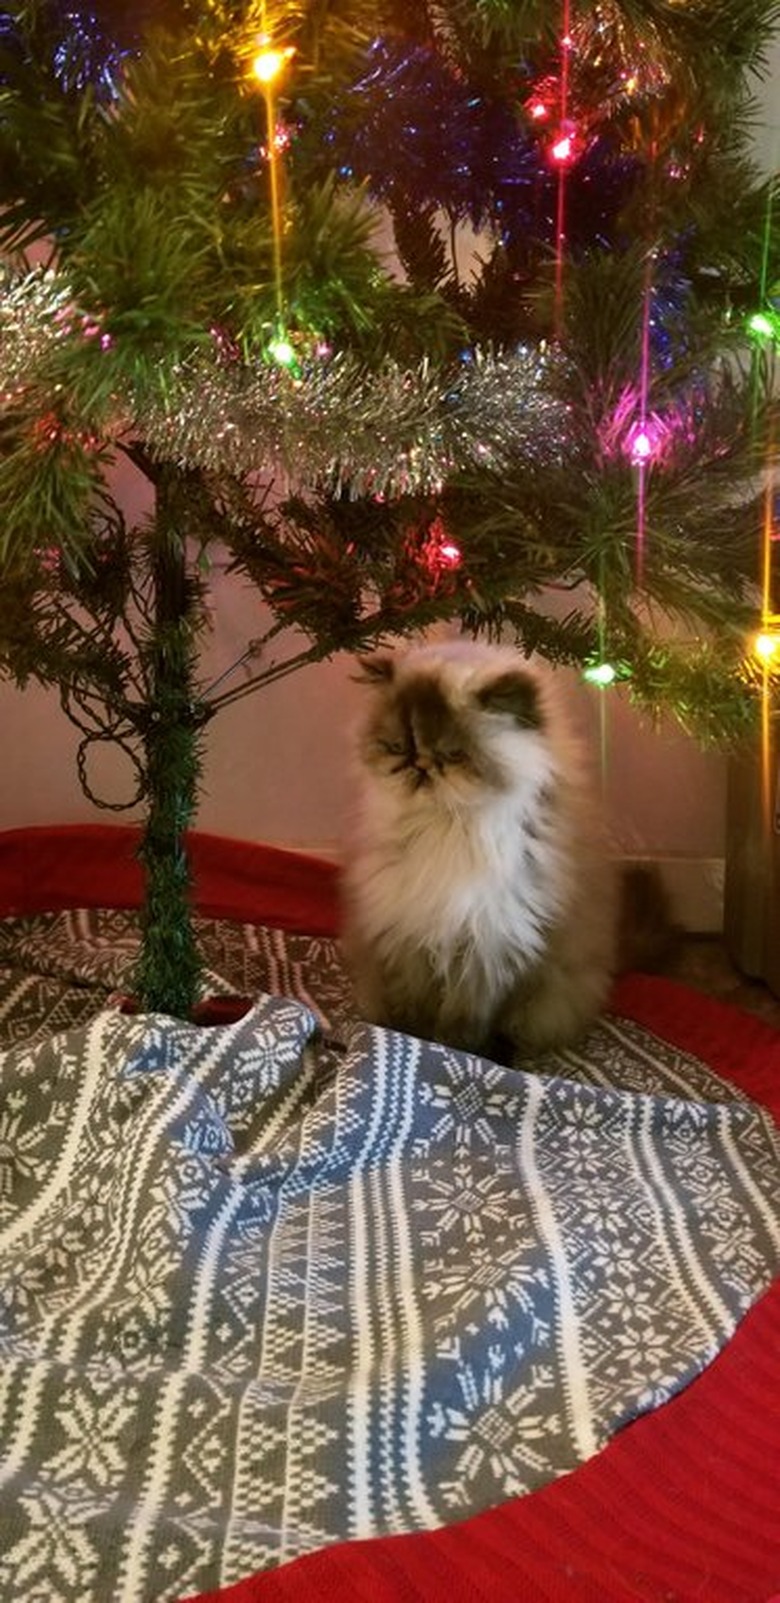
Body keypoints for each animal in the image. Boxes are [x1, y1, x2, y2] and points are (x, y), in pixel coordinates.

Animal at [342, 631, 621, 1057]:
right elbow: (409, 1012)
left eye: (451, 755)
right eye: (396, 748)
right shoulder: (407, 940)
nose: (419, 766)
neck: (445, 832)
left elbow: (469, 1027)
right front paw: (403, 1041)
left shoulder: (491, 950)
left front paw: (462, 1054)